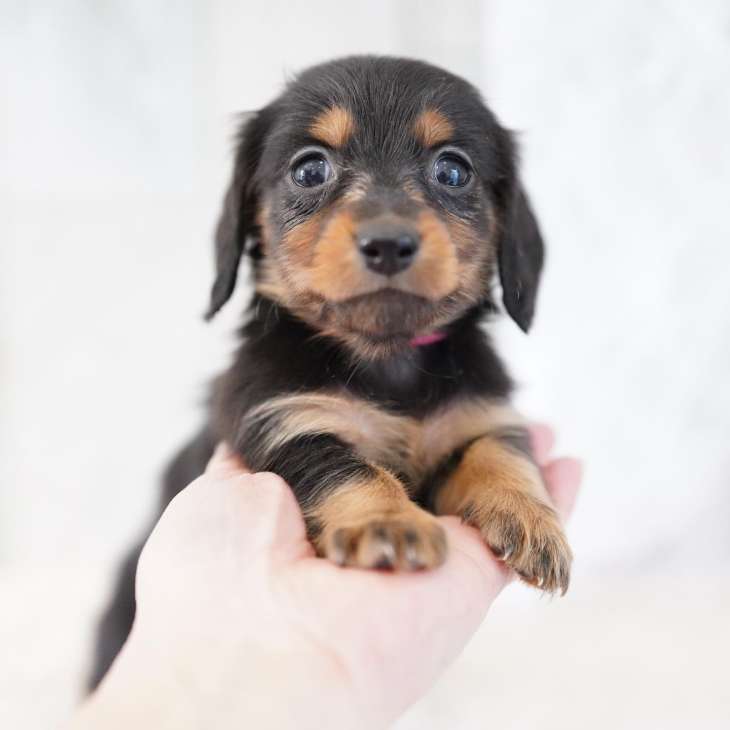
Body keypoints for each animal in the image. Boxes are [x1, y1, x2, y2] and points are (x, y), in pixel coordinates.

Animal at [88, 55, 572, 691]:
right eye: (310, 168)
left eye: (452, 169)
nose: (388, 244)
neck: (386, 357)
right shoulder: (288, 422)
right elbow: (348, 469)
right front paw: (388, 523)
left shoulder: (479, 414)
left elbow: (501, 453)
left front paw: (531, 518)